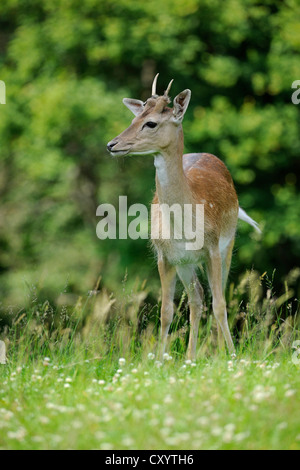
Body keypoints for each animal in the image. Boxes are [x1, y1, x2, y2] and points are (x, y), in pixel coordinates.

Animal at [107, 74, 260, 360]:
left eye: (151, 123)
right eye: (133, 119)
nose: (111, 144)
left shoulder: (212, 247)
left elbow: (220, 304)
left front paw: (233, 356)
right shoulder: (165, 256)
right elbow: (166, 311)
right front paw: (158, 361)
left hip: (228, 244)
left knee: (216, 294)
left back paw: (216, 352)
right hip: (185, 263)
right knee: (197, 298)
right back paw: (191, 357)